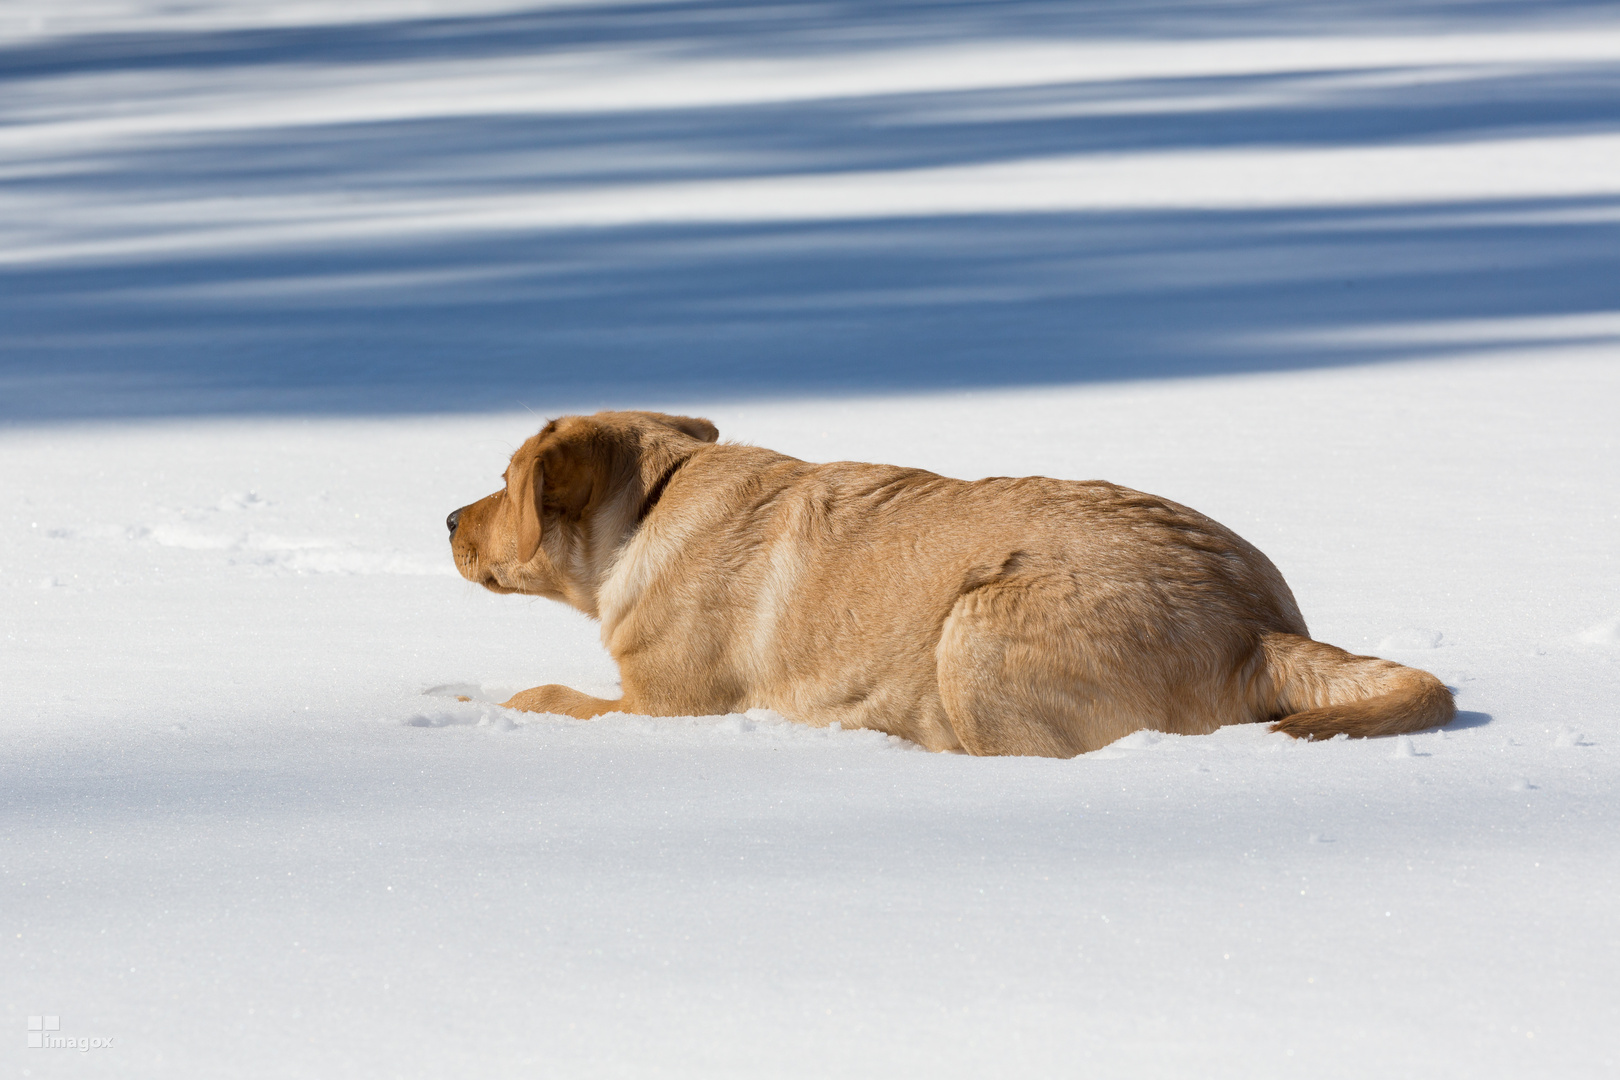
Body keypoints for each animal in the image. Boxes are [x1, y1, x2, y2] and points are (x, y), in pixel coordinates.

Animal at [447, 409, 1458, 757]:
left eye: (504, 479)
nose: (449, 521)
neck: (651, 506)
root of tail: (1256, 625)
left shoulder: (663, 704)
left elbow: (549, 694)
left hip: (976, 622)